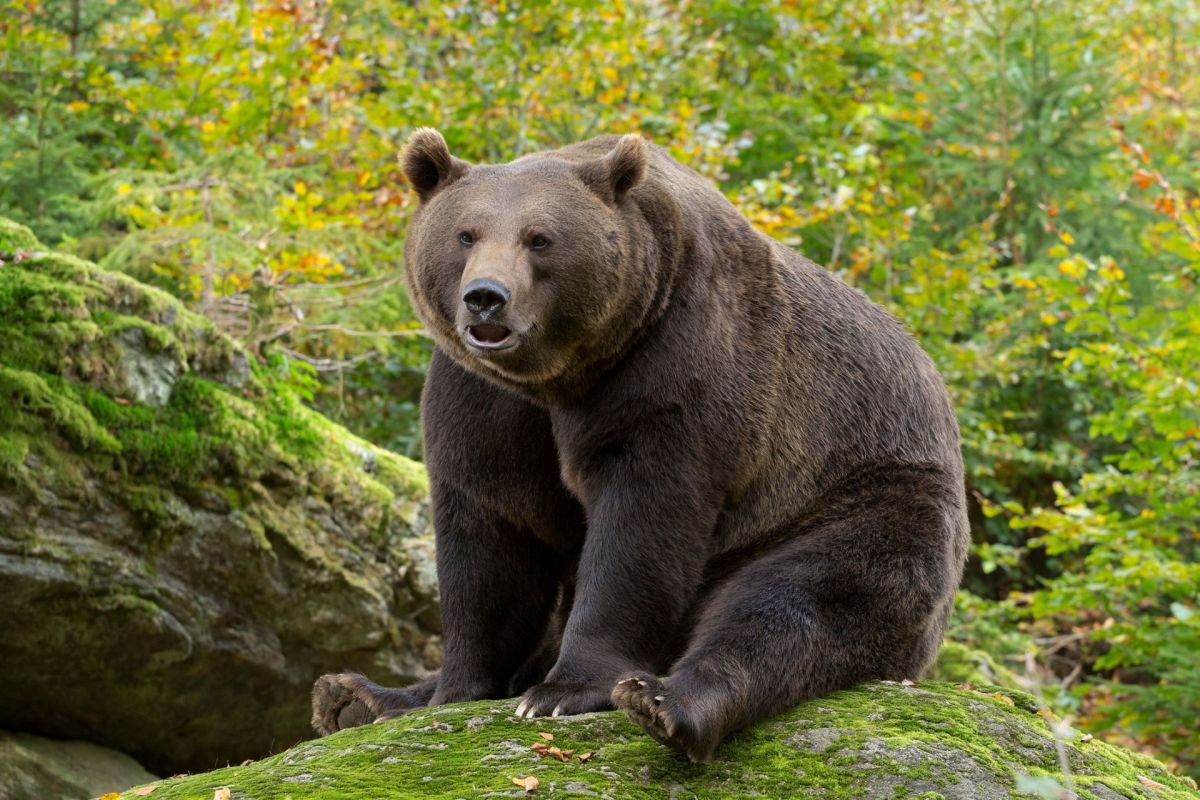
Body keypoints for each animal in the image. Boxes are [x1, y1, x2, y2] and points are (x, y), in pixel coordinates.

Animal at [310, 129, 969, 763]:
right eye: (465, 234)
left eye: (540, 238)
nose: (486, 297)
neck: (560, 375)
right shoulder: (486, 402)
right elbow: (492, 533)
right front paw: (453, 689)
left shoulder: (676, 364)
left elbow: (642, 524)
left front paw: (563, 691)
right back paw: (356, 695)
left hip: (861, 495)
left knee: (795, 600)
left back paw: (664, 702)